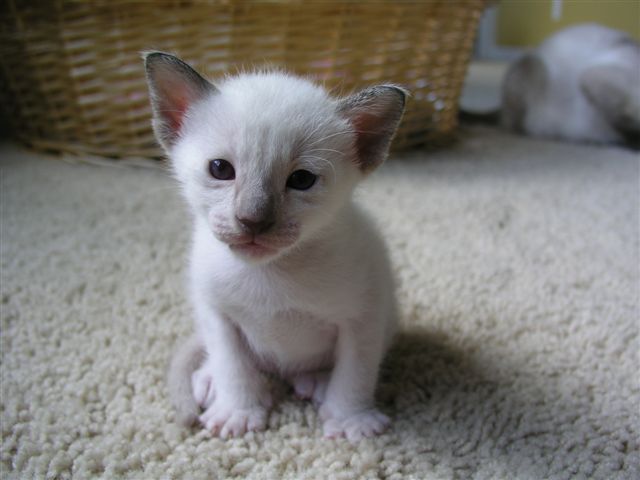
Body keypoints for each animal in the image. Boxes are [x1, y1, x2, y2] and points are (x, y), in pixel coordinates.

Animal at [143, 52, 406, 442]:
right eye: (220, 169)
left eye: (302, 180)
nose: (252, 220)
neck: (271, 271)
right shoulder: (216, 313)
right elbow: (231, 364)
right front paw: (238, 411)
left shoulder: (364, 318)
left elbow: (355, 373)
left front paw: (350, 420)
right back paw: (211, 381)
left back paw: (315, 383)